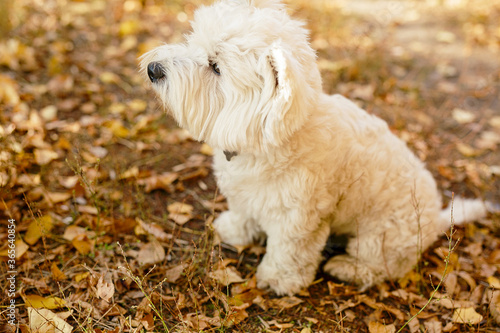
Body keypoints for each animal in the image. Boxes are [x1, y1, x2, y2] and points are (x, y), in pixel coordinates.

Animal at [141, 0, 488, 296]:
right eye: (193, 39)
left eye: (215, 66)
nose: (153, 69)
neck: (269, 136)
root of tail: (437, 221)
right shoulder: (244, 193)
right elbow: (243, 211)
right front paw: (235, 230)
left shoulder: (298, 220)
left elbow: (288, 252)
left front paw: (279, 280)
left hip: (381, 237)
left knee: (380, 267)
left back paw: (346, 267)